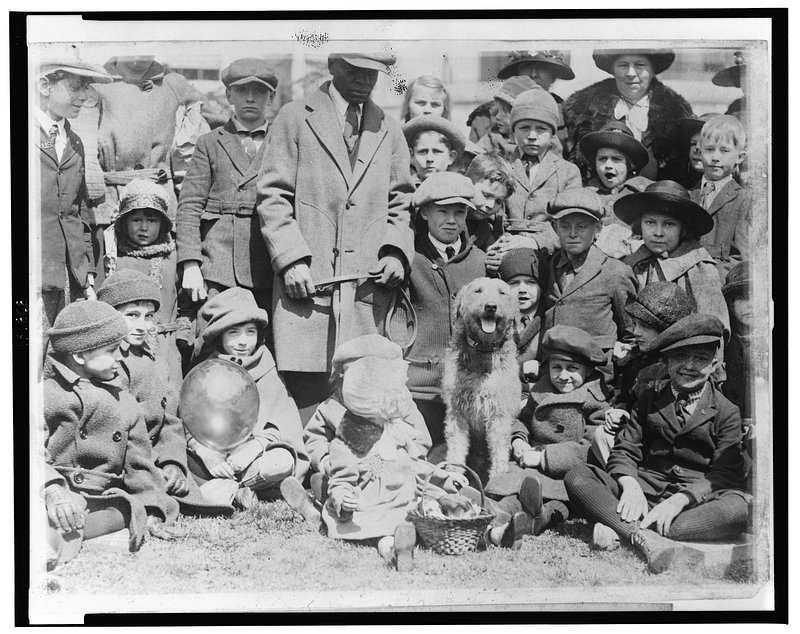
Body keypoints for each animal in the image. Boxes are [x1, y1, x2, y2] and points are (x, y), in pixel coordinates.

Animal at [442, 277, 521, 482]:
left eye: (502, 292)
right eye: (478, 291)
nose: (491, 307)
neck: (483, 351)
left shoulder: (499, 413)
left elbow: (499, 449)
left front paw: (498, 476)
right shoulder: (457, 411)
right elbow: (456, 446)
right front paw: (453, 473)